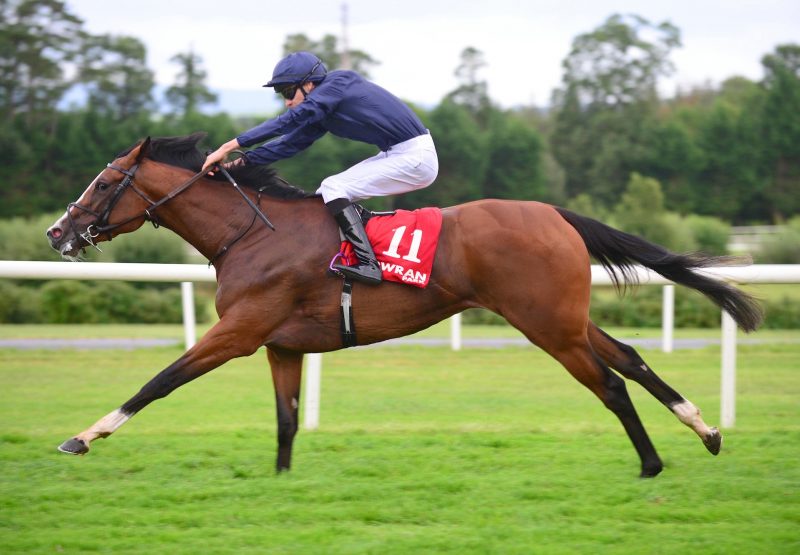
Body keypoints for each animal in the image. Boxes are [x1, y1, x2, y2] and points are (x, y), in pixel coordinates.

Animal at [45, 134, 764, 478]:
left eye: (104, 183)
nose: (56, 232)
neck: (251, 233)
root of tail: (553, 212)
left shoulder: (240, 331)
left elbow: (159, 381)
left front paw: (82, 436)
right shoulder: (282, 342)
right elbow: (286, 420)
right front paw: (280, 482)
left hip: (545, 325)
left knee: (611, 384)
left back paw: (651, 464)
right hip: (564, 315)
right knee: (632, 359)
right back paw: (706, 429)